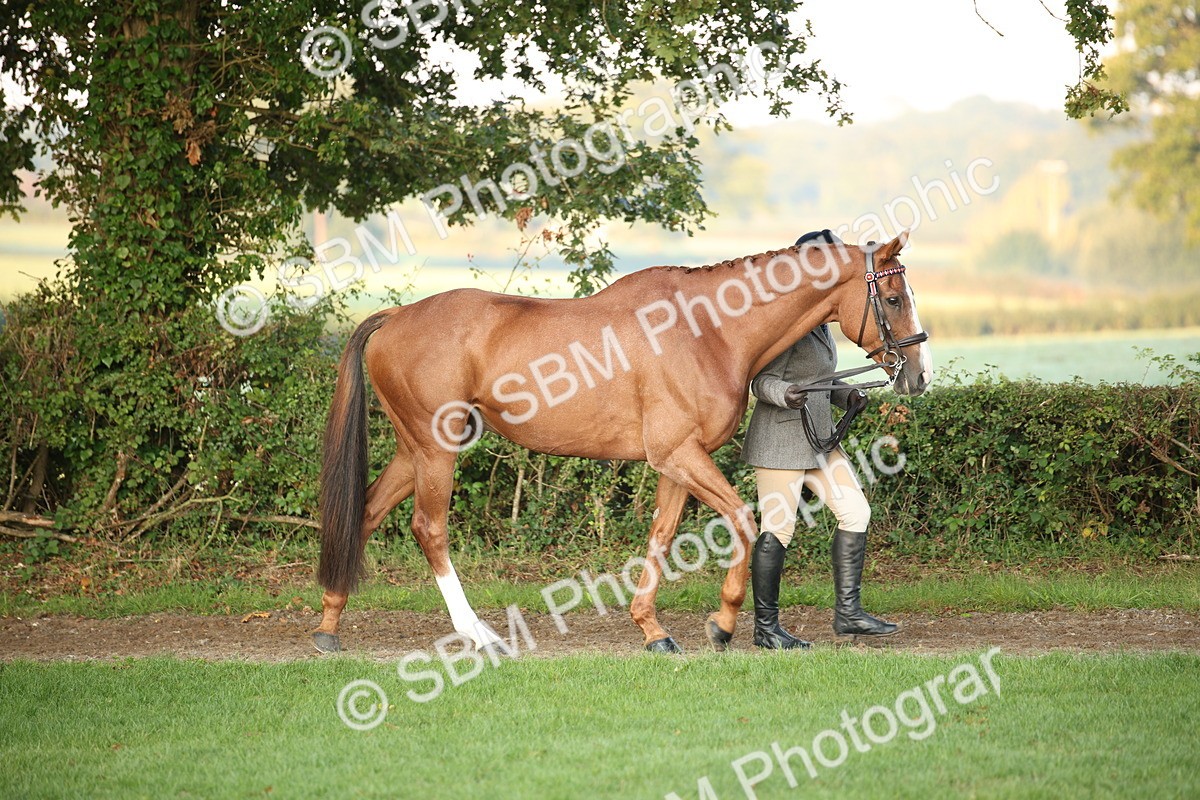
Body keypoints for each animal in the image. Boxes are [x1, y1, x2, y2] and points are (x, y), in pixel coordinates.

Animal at [312, 231, 931, 654]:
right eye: (894, 298)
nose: (918, 375)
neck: (706, 329)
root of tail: (397, 316)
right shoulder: (682, 455)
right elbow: (743, 520)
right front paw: (723, 623)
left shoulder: (676, 463)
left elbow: (661, 535)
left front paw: (653, 629)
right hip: (436, 451)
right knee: (429, 529)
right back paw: (478, 633)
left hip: (413, 450)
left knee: (365, 511)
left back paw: (329, 623)